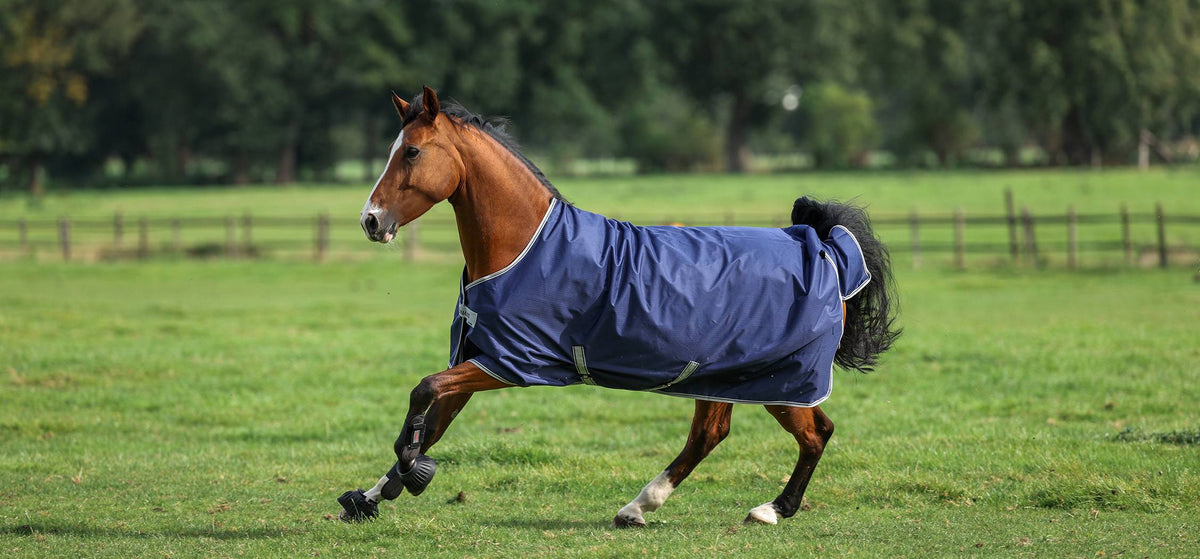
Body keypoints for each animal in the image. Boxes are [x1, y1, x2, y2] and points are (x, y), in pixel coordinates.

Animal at [339, 86, 900, 527]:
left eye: (412, 152)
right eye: (394, 150)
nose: (371, 220)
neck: (525, 248)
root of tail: (827, 248)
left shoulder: (512, 363)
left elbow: (423, 394)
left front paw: (409, 469)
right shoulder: (479, 358)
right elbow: (434, 417)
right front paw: (372, 496)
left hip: (781, 380)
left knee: (813, 433)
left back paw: (770, 510)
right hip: (724, 377)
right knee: (712, 434)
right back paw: (640, 507)